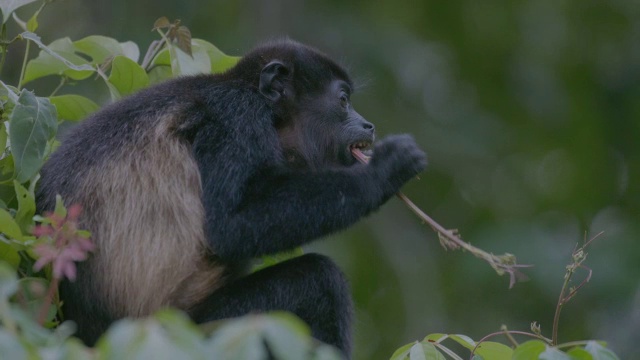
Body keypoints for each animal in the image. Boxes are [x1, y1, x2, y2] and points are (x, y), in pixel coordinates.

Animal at [35, 40, 424, 358]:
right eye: (343, 100)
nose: (369, 124)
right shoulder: (236, 116)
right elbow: (229, 226)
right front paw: (382, 172)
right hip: (195, 333)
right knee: (318, 281)